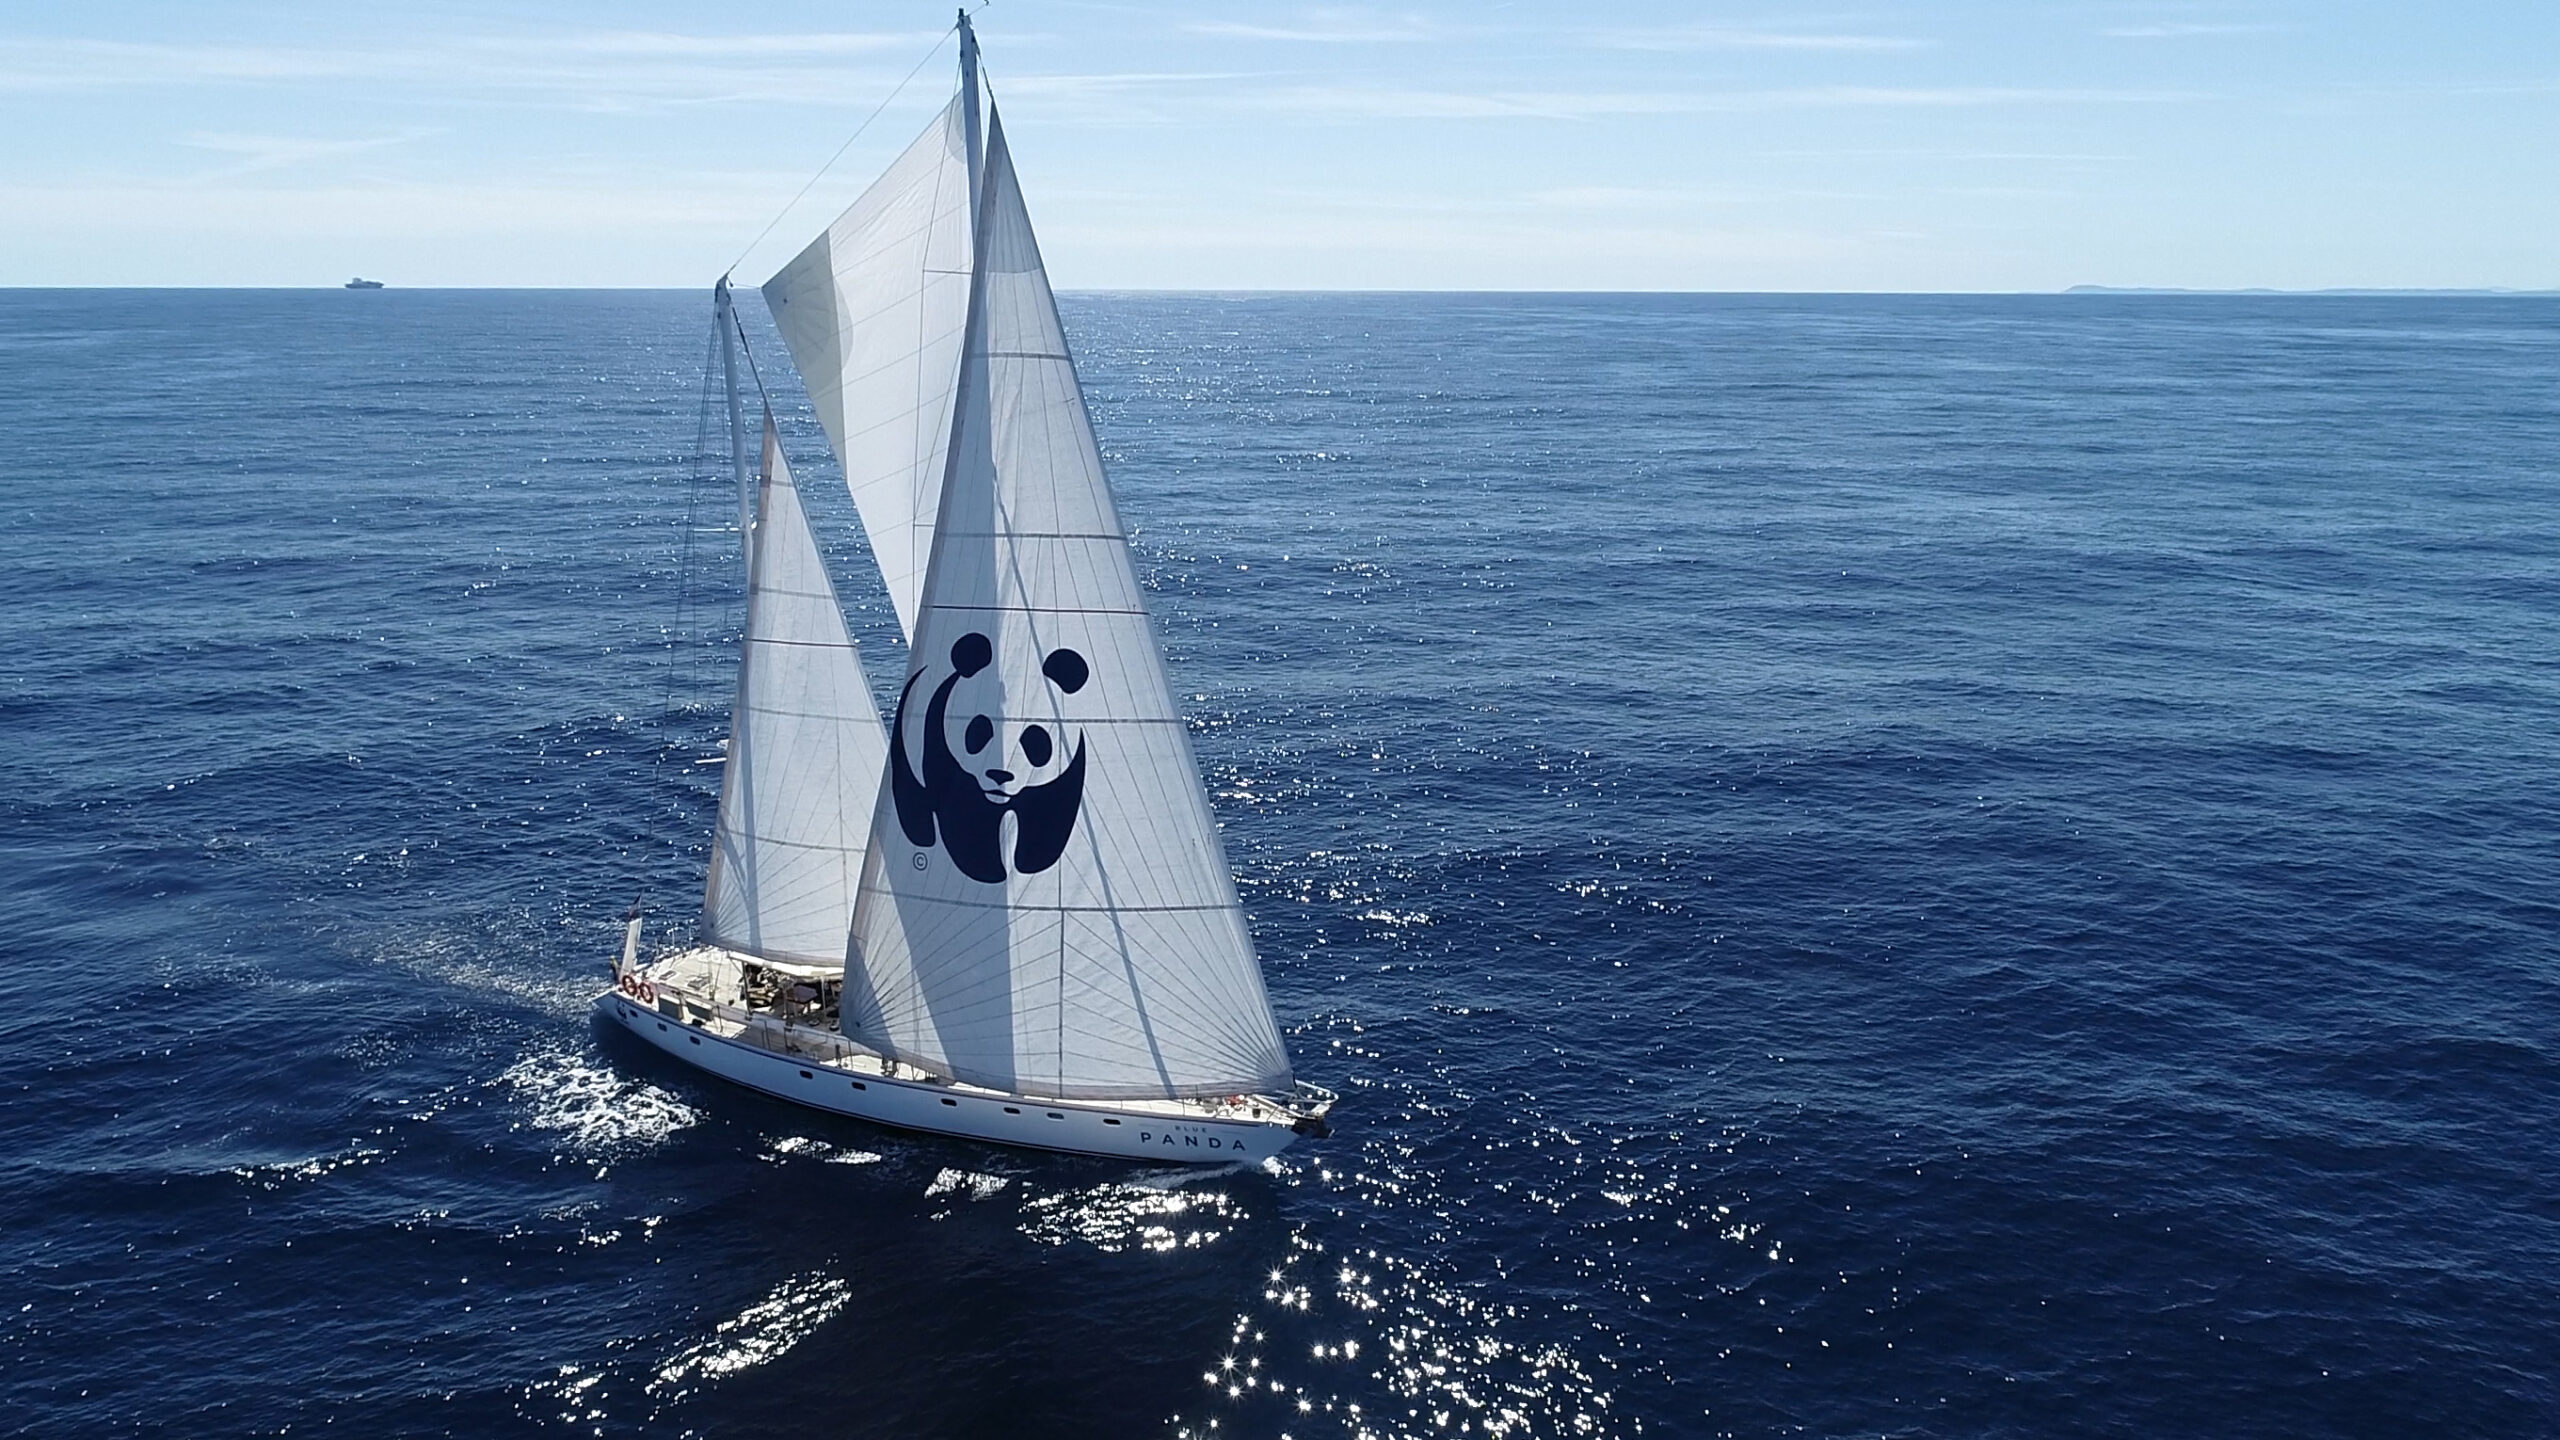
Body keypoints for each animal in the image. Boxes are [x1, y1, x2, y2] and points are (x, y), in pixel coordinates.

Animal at [888, 631, 1091, 884]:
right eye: (978, 731)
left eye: (1036, 741)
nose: (999, 775)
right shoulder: (944, 757)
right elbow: (968, 825)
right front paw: (989, 869)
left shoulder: (1064, 774)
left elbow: (1048, 816)